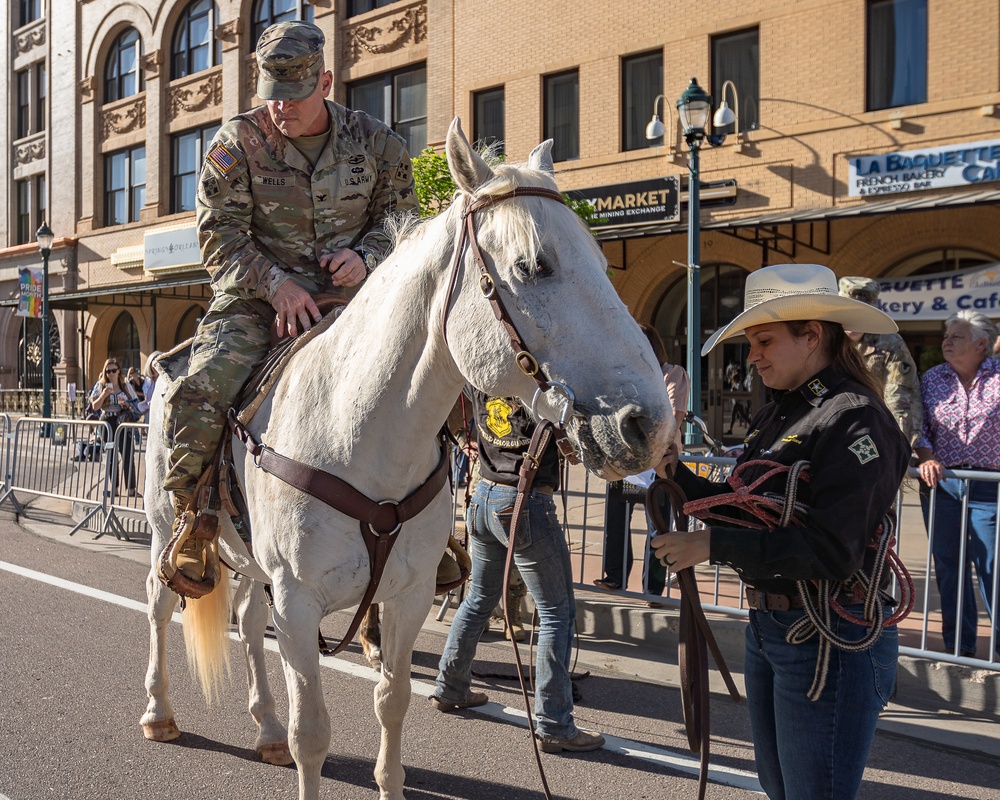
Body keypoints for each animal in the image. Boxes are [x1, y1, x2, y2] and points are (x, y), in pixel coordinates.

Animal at [139, 119, 672, 800]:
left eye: (605, 264)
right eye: (534, 265)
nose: (649, 425)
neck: (358, 432)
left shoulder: (408, 597)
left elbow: (392, 703)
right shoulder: (299, 603)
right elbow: (313, 734)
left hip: (256, 564)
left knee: (248, 617)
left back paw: (264, 728)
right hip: (165, 531)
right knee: (160, 605)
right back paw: (160, 713)